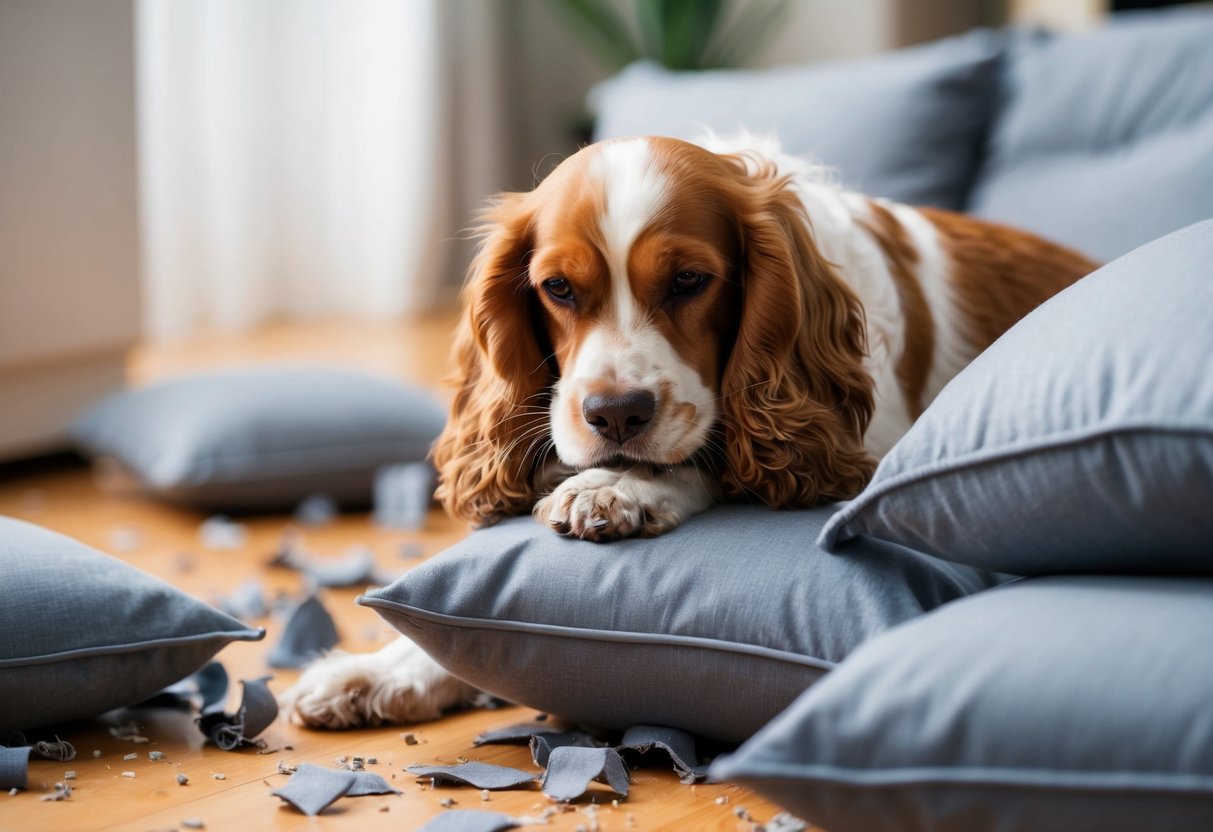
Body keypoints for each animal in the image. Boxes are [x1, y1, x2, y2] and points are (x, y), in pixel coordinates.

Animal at [280, 134, 1097, 728]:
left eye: (689, 281)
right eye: (557, 288)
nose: (614, 414)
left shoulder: (855, 459)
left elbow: (711, 453)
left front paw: (618, 488)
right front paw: (379, 669)